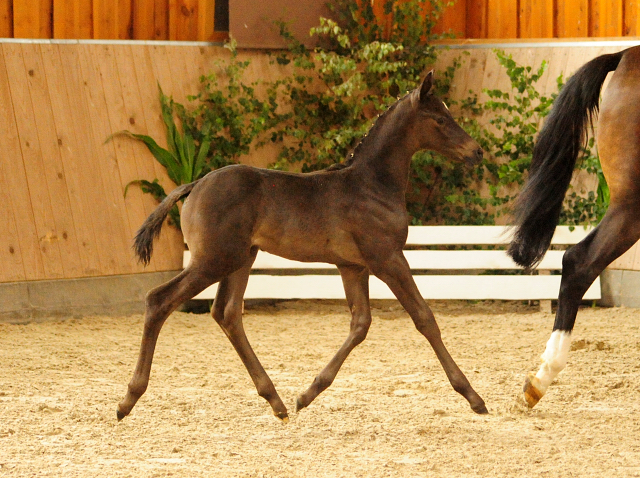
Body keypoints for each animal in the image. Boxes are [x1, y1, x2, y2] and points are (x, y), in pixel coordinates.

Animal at [117, 72, 488, 422]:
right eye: (439, 119)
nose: (477, 151)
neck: (371, 185)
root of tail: (195, 183)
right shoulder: (388, 259)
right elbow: (424, 318)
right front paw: (473, 396)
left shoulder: (353, 266)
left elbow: (360, 324)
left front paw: (308, 394)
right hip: (213, 261)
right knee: (159, 301)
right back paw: (128, 400)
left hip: (240, 259)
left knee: (227, 313)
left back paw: (276, 401)